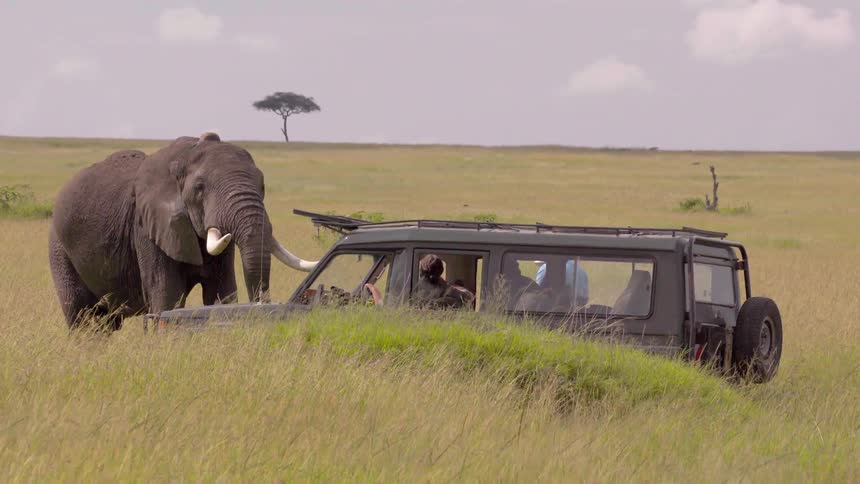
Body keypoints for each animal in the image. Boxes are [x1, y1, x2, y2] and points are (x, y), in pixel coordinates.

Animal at [49, 132, 317, 330]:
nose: (262, 306)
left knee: (106, 323)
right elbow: (167, 292)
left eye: (262, 186)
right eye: (200, 188)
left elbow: (221, 290)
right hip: (59, 246)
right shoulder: (145, 226)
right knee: (81, 316)